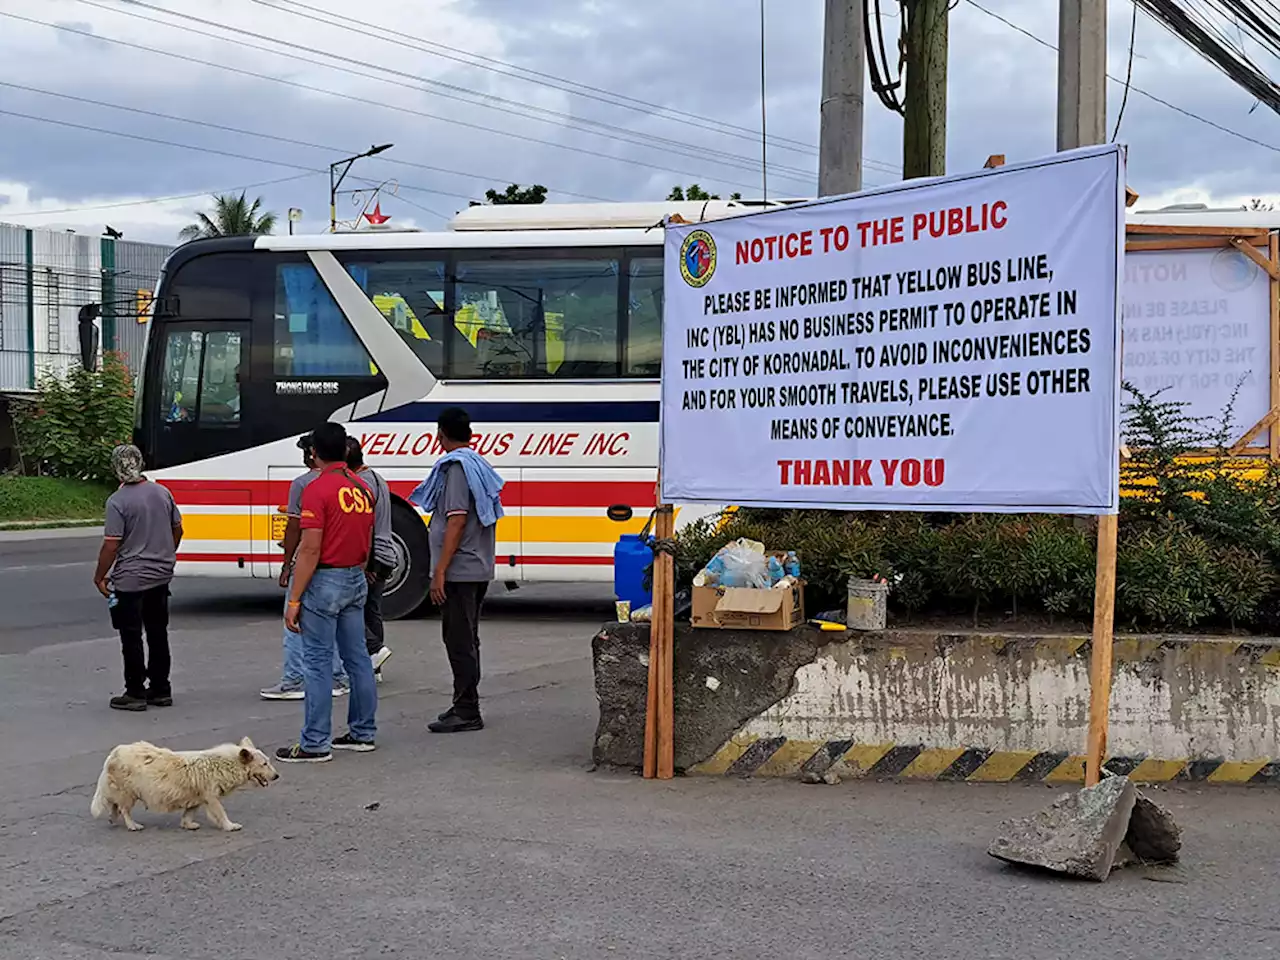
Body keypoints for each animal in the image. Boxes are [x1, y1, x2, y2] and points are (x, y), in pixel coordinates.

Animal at [90, 737, 280, 834]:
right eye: (264, 764)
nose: (277, 776)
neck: (225, 764)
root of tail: (113, 754)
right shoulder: (211, 797)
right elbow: (221, 813)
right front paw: (229, 826)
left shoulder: (197, 797)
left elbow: (189, 813)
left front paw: (187, 825)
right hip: (128, 793)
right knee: (124, 809)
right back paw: (132, 825)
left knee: (115, 806)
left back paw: (113, 818)